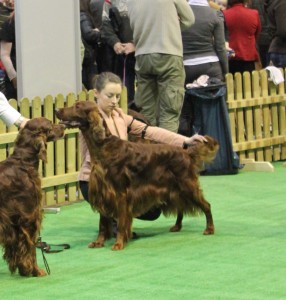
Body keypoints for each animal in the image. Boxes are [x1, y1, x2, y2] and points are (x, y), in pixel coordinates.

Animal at [0, 117, 64, 276]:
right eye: (50, 125)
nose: (64, 126)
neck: (23, 163)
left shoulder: (14, 223)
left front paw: (24, 270)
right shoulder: (29, 217)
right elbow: (31, 248)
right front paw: (36, 271)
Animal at [55, 101, 219, 251]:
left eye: (77, 106)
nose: (56, 109)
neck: (103, 147)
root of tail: (186, 152)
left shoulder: (120, 194)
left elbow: (121, 222)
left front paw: (119, 243)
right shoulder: (103, 193)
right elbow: (102, 223)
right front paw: (99, 242)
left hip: (188, 185)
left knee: (206, 205)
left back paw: (209, 229)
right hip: (175, 188)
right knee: (181, 206)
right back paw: (177, 226)